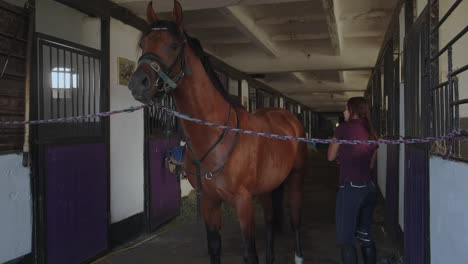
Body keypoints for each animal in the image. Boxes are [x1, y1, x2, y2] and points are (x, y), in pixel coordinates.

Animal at [128, 2, 308, 264]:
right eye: (143, 44)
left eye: (173, 45)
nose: (138, 83)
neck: (215, 136)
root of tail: (288, 117)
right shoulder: (210, 202)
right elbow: (214, 246)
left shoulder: (243, 202)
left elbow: (249, 253)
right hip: (267, 187)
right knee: (270, 220)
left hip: (295, 178)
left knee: (295, 219)